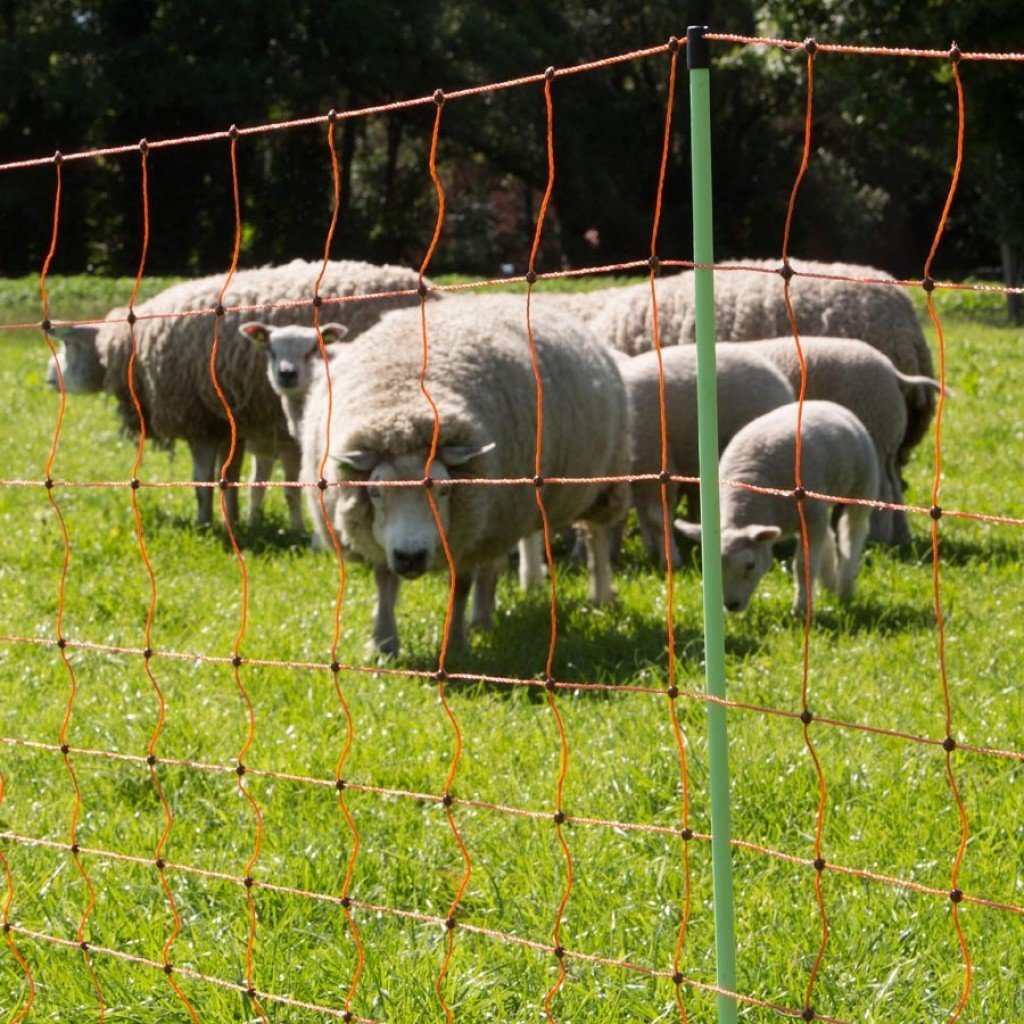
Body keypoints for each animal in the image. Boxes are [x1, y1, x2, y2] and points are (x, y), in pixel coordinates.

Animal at [46, 260, 426, 530]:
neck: (129, 350)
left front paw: (204, 524)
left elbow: (201, 480)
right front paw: (235, 520)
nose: (49, 377)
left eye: (71, 345)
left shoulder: (197, 418)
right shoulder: (232, 421)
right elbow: (230, 477)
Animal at [300, 295, 630, 656]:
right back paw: (486, 615)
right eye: (374, 491)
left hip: (597, 482)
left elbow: (460, 586)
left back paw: (600, 594)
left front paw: (455, 643)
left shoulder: (468, 534)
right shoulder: (388, 539)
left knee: (595, 536)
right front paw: (383, 643)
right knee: (499, 559)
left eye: (445, 490)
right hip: (509, 507)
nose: (411, 557)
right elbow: (385, 581)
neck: (406, 395)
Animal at [674, 400, 880, 616]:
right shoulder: (810, 518)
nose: (731, 605)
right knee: (830, 536)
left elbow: (803, 567)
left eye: (750, 565)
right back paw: (830, 584)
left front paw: (800, 609)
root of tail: (824, 403)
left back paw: (845, 588)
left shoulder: (811, 517)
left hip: (863, 483)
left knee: (853, 531)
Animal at [734, 336, 941, 546]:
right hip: (887, 440)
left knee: (882, 492)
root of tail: (892, 370)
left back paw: (876, 538)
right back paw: (899, 537)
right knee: (895, 488)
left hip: (874, 434)